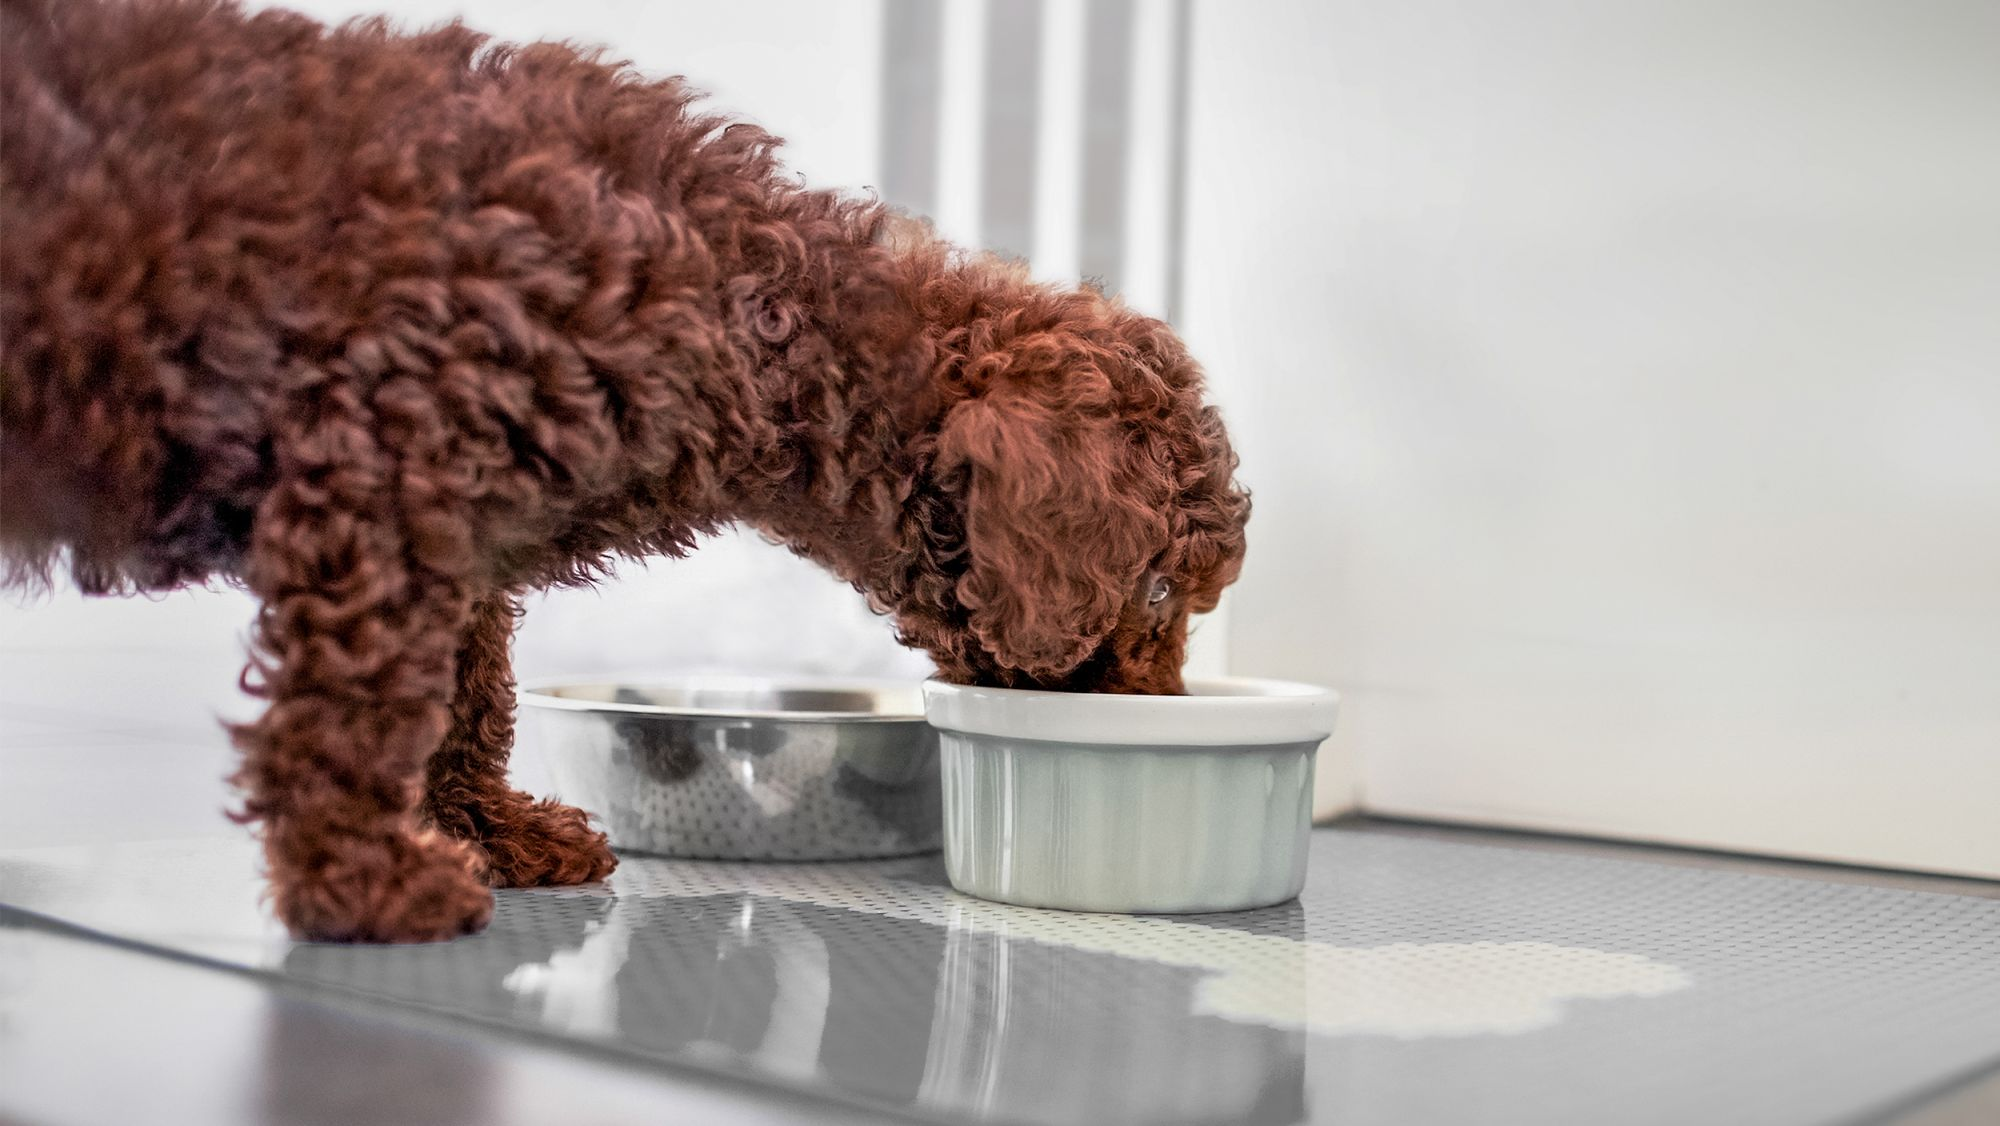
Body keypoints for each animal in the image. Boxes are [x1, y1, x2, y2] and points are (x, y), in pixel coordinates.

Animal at [0, 2, 1248, 944]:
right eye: (1154, 594)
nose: (1161, 711)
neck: (742, 297)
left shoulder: (466, 532)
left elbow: (469, 698)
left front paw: (483, 828)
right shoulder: (383, 485)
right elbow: (363, 709)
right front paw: (364, 880)